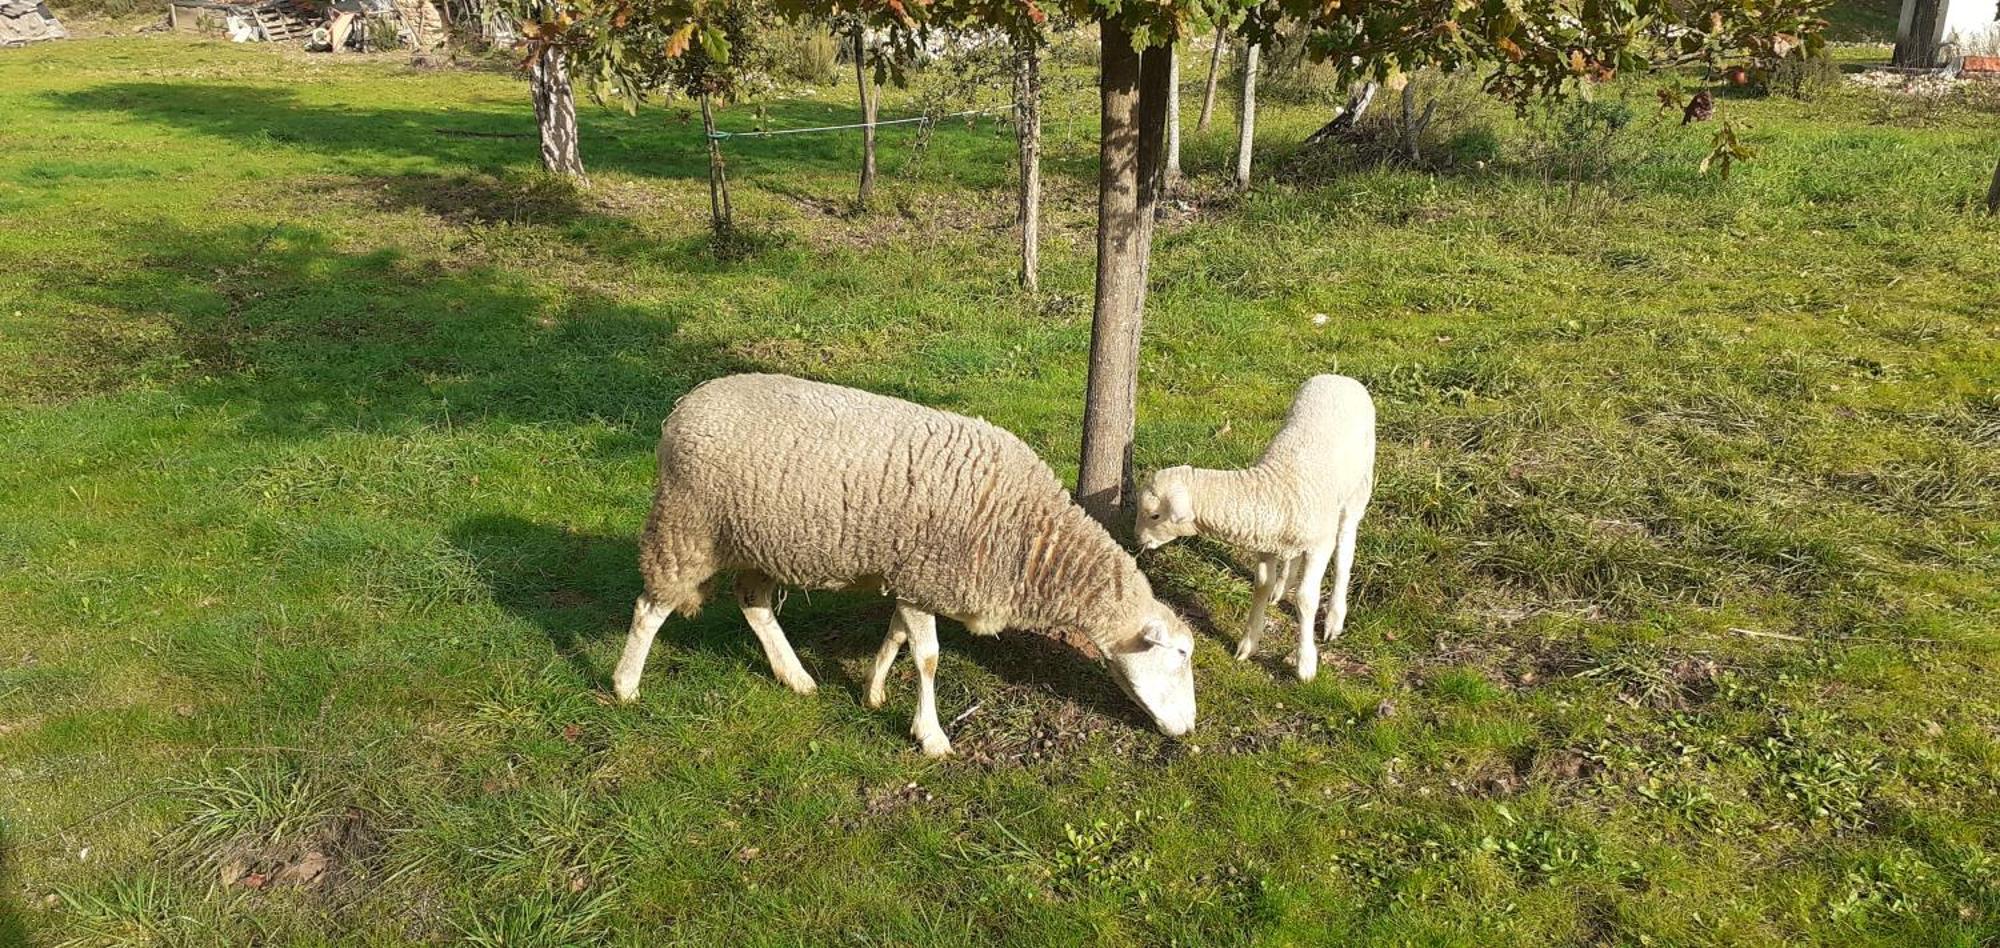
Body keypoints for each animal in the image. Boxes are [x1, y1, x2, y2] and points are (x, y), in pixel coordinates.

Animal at [1144, 372, 1376, 680]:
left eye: (1155, 516)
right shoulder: (1266, 544)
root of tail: (1340, 377)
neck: (1274, 487)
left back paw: (1335, 617)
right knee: (1293, 559)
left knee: (1345, 548)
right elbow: (1260, 587)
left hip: (1358, 489)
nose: (1137, 540)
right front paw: (1248, 644)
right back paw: (1283, 586)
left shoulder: (1319, 545)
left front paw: (1305, 663)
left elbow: (1306, 599)